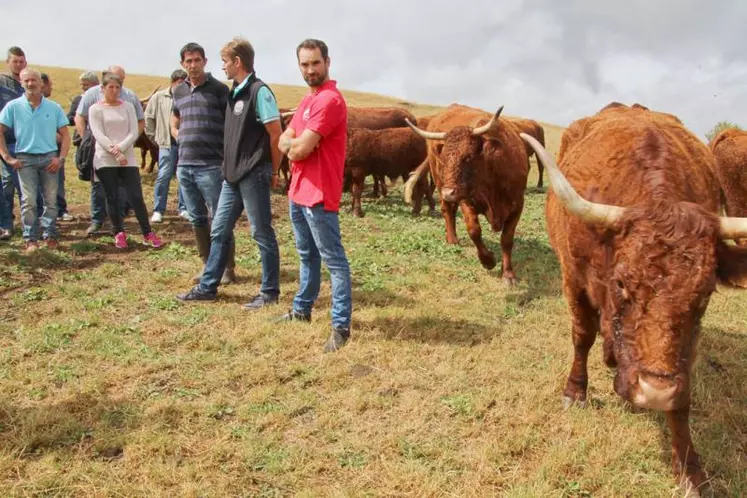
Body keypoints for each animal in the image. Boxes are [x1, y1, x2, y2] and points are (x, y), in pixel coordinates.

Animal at [404, 104, 532, 284]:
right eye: (444, 159)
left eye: (469, 157)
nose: (448, 192)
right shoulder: (467, 199)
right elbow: (474, 231)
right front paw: (488, 261)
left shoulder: (517, 204)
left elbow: (507, 240)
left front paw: (508, 274)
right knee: (447, 210)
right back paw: (452, 239)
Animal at [524, 103, 747, 496]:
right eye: (622, 282)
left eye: (705, 294)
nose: (654, 392)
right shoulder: (573, 280)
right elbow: (582, 336)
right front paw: (575, 392)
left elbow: (682, 393)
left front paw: (689, 469)